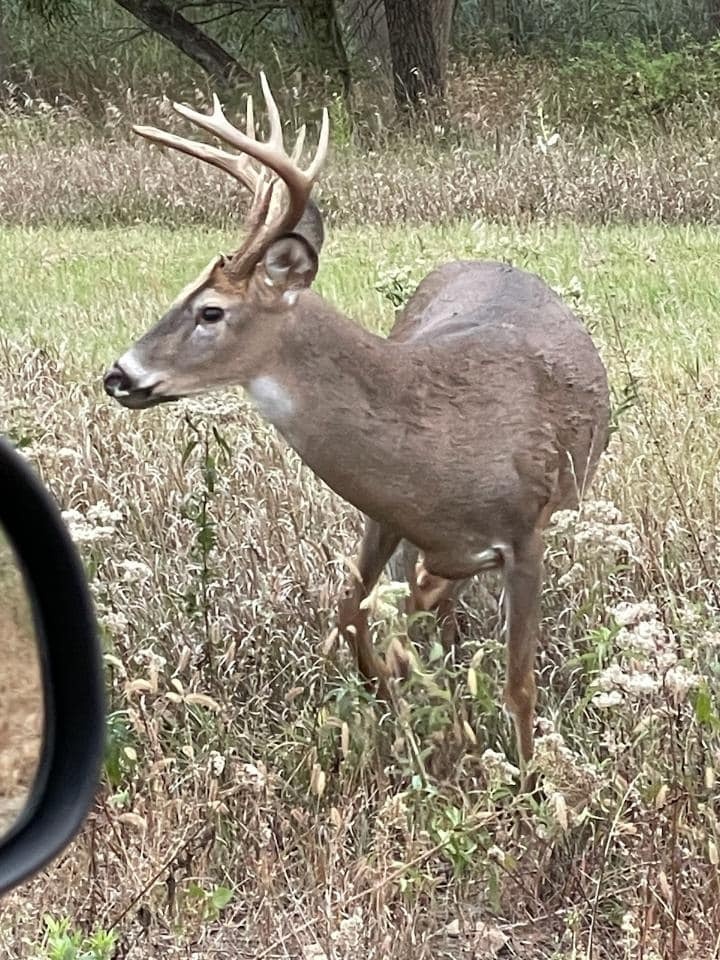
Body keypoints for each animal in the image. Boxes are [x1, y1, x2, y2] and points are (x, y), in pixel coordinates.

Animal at [103, 74, 610, 774]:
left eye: (210, 311)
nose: (118, 375)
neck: (439, 452)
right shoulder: (383, 513)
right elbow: (350, 612)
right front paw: (397, 712)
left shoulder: (525, 530)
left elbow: (518, 683)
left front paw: (528, 780)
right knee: (426, 612)